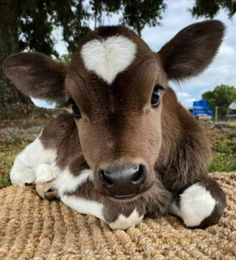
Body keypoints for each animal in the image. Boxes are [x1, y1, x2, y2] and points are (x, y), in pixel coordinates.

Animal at [2, 20, 226, 230]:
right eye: (75, 106)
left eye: (155, 95)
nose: (122, 178)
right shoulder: (76, 175)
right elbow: (126, 212)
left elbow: (205, 205)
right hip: (44, 142)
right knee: (19, 165)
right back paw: (33, 180)